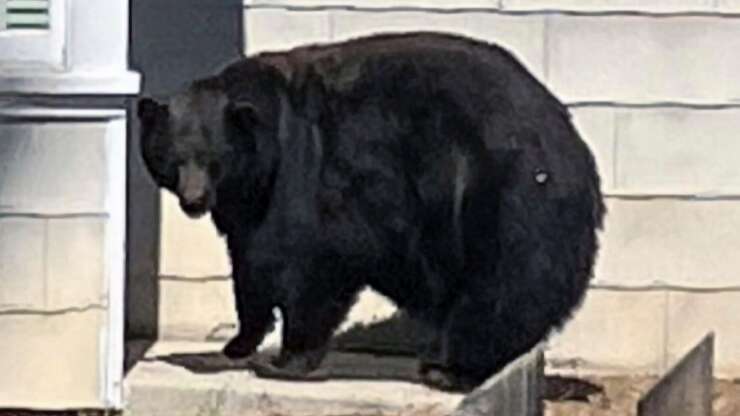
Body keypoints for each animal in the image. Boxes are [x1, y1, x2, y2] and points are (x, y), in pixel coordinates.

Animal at [137, 31, 605, 392]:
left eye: (214, 159)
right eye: (173, 158)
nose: (194, 201)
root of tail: (574, 146)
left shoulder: (312, 174)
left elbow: (312, 262)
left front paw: (285, 359)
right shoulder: (248, 205)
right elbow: (250, 264)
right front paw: (238, 343)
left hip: (502, 196)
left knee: (501, 285)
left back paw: (451, 369)